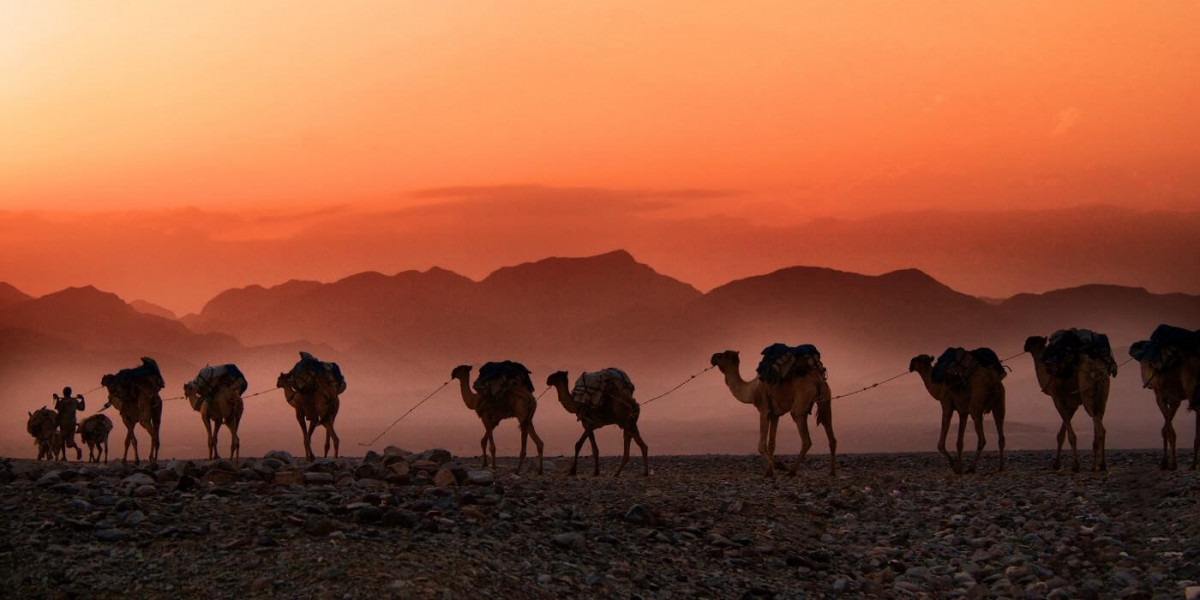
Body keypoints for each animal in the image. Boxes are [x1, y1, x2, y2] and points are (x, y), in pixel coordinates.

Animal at [1025, 335, 1114, 472]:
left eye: (1032, 341)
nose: (1025, 345)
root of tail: (1098, 370)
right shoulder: (1073, 405)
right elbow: (1061, 434)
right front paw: (1056, 464)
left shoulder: (1057, 398)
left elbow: (1070, 434)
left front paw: (1075, 465)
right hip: (1102, 399)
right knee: (1098, 421)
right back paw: (1097, 466)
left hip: (1088, 396)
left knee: (1100, 428)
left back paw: (1101, 465)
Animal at [1130, 340, 1200, 470]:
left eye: (1145, 345)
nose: (1132, 347)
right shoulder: (1174, 400)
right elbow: (1165, 429)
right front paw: (1165, 462)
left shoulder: (1166, 397)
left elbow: (1168, 430)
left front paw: (1171, 464)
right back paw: (1194, 464)